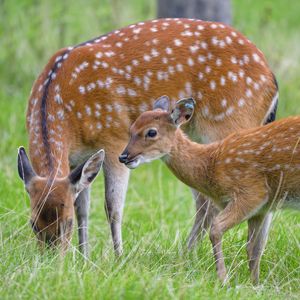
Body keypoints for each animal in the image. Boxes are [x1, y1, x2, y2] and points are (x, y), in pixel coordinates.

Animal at [17, 18, 278, 258]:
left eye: (66, 223)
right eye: (32, 223)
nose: (51, 260)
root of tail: (271, 80)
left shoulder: (114, 138)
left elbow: (112, 208)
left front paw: (118, 258)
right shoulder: (78, 159)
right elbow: (84, 207)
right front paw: (84, 257)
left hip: (230, 123)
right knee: (205, 201)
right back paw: (190, 255)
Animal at [119, 97, 300, 284]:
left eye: (151, 132)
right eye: (131, 129)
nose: (124, 157)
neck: (211, 165)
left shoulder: (252, 192)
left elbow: (216, 229)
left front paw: (223, 278)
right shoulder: (263, 208)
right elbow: (254, 249)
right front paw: (254, 284)